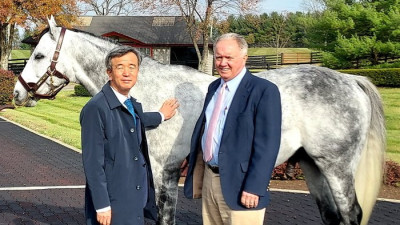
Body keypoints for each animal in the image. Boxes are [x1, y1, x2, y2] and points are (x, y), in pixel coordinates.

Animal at [14, 17, 386, 225]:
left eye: (39, 55)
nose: (17, 93)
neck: (153, 90)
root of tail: (350, 80)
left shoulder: (163, 171)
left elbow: (164, 216)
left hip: (337, 168)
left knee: (351, 214)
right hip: (313, 166)